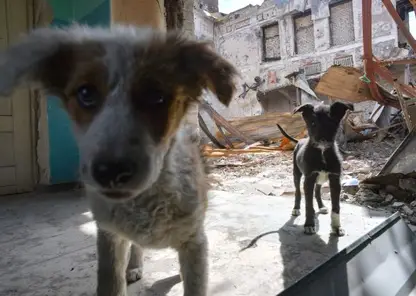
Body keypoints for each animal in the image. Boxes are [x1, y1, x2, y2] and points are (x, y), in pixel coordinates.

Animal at [0, 24, 239, 296]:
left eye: (156, 96)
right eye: (85, 93)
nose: (110, 171)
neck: (146, 199)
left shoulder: (194, 241)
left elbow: (194, 280)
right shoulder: (109, 237)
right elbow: (111, 282)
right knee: (136, 245)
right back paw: (134, 266)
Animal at [278, 102, 352, 236]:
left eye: (332, 122)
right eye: (313, 123)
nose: (322, 140)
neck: (322, 152)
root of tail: (300, 140)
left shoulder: (335, 179)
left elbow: (336, 207)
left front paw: (336, 227)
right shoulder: (309, 179)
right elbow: (308, 205)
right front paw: (309, 224)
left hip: (320, 179)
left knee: (317, 191)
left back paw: (321, 206)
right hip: (297, 174)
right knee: (298, 192)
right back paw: (296, 208)